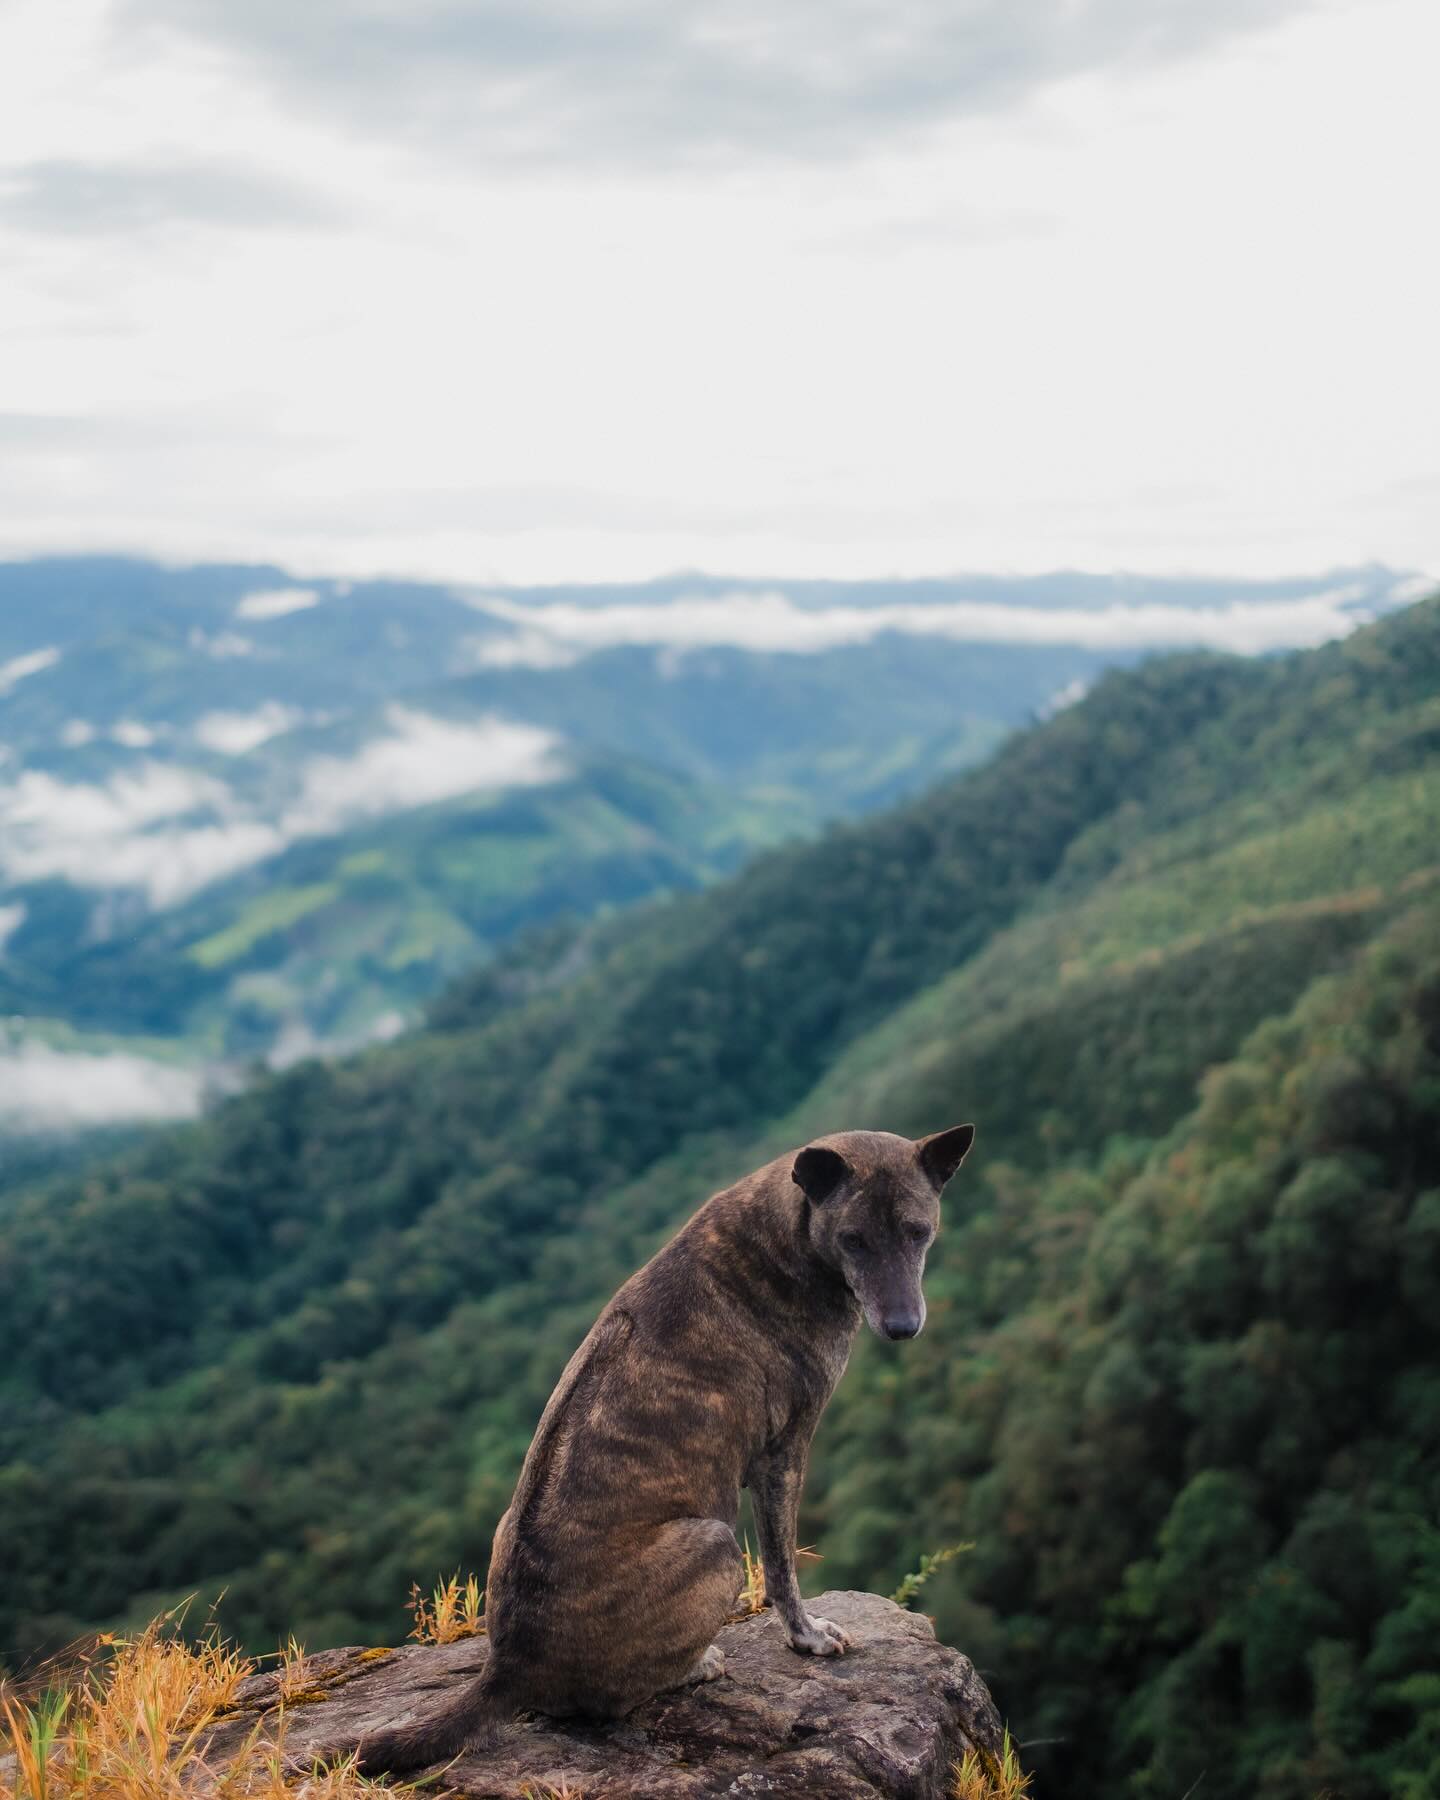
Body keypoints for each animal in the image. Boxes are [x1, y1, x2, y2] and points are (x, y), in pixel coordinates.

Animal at [351, 1123, 979, 1771]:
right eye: (853, 1239)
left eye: (918, 1231)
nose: (903, 1327)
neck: (790, 1233)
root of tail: (507, 1668)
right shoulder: (783, 1454)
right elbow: (782, 1567)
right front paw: (806, 1636)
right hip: (715, 1544)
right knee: (615, 1699)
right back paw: (697, 1665)